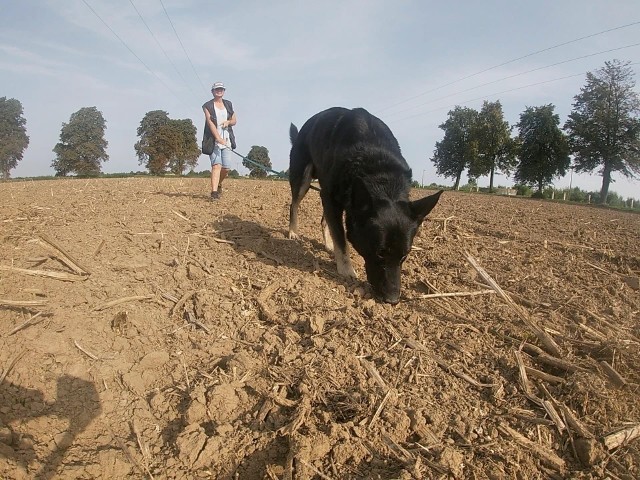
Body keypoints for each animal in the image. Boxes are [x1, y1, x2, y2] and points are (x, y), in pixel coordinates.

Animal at [288, 108, 442, 304]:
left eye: (405, 255)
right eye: (380, 253)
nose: (393, 300)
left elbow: (335, 230)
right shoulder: (330, 197)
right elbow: (341, 239)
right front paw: (347, 271)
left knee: (324, 220)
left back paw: (328, 244)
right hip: (303, 178)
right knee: (294, 204)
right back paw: (293, 232)